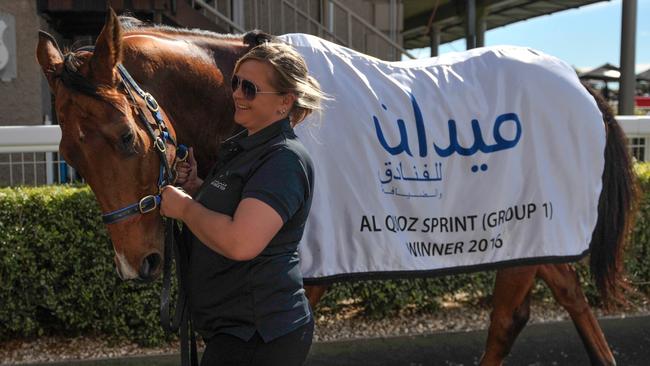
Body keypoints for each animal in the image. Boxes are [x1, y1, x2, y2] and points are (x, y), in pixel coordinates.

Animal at [35, 9, 632, 366]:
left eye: (124, 139)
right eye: (70, 157)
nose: (139, 263)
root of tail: (580, 82)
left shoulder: (306, 275)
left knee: (510, 318)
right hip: (536, 230)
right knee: (565, 296)